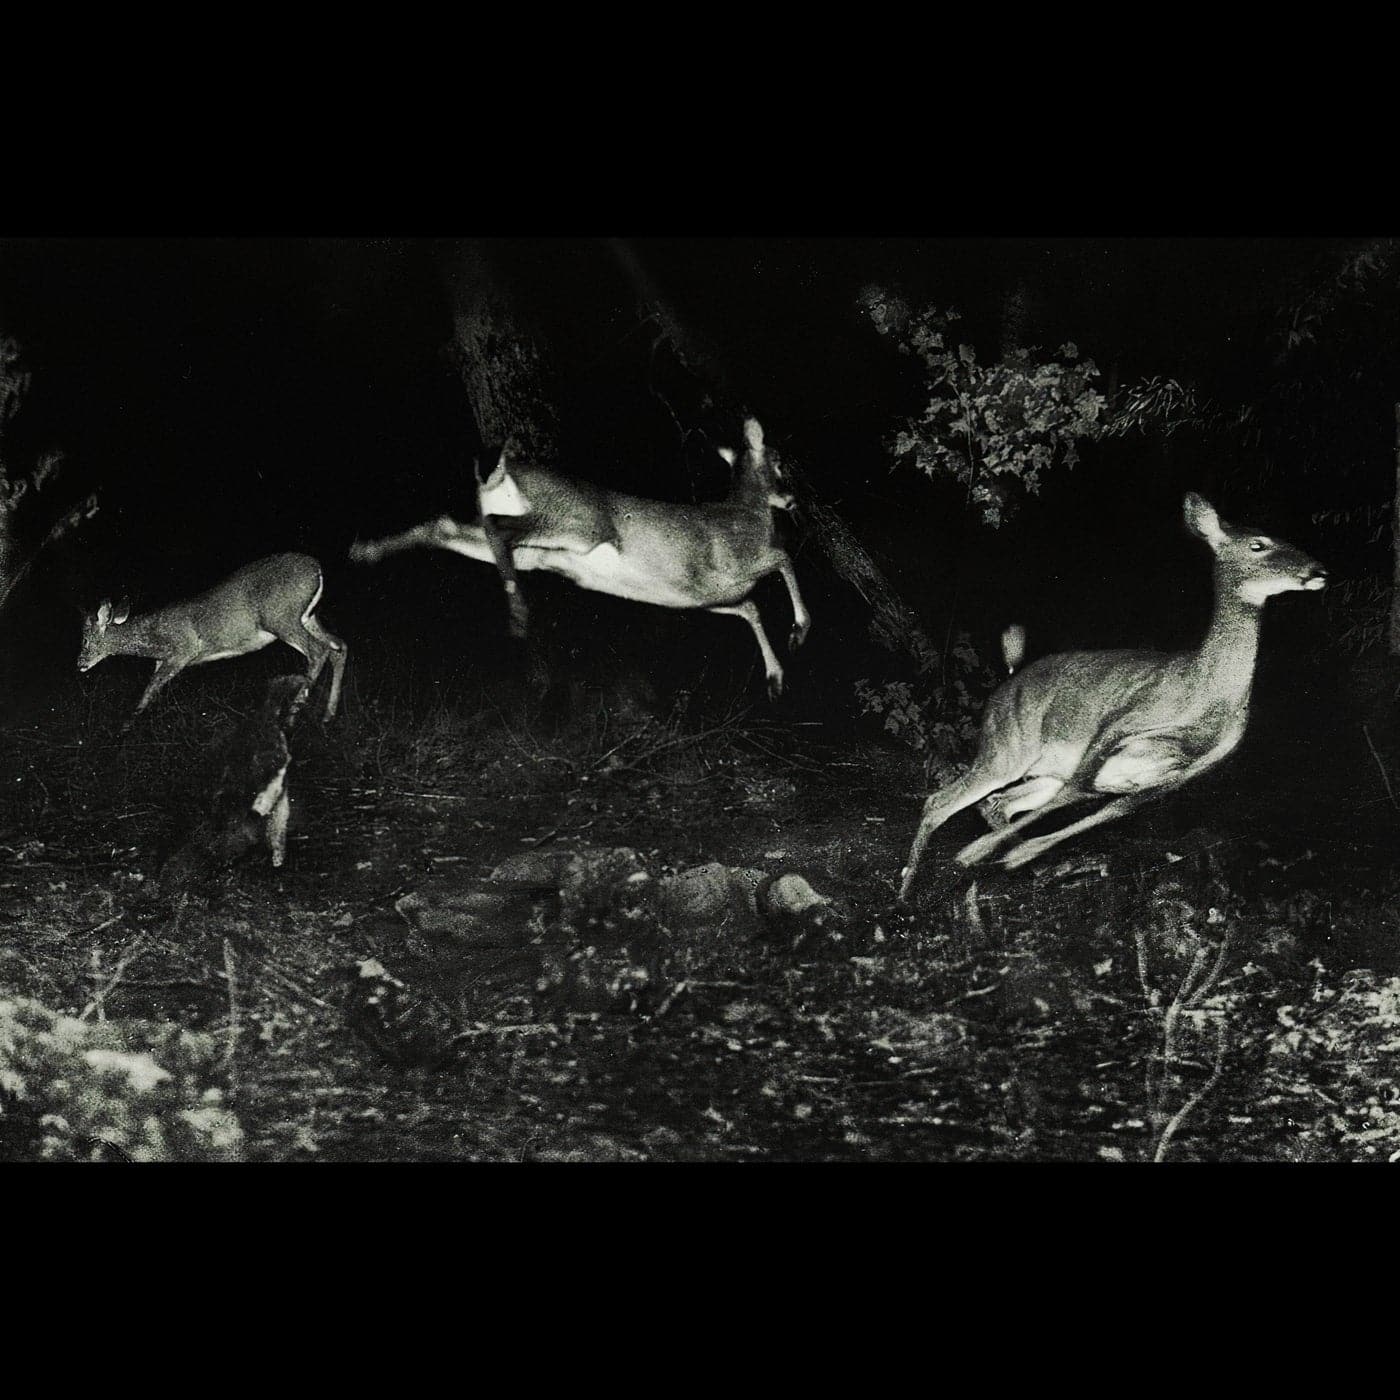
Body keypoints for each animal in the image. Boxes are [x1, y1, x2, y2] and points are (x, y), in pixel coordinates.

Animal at [78, 548, 348, 728]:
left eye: (84, 640)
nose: (79, 664)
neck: (153, 640)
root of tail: (316, 568)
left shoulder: (182, 651)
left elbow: (150, 688)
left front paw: (126, 726)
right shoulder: (163, 660)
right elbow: (153, 688)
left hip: (281, 617)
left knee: (318, 651)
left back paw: (292, 716)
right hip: (307, 616)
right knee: (338, 646)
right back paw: (328, 715)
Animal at [347, 414, 812, 700]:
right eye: (779, 462)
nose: (792, 500)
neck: (746, 516)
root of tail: (501, 471)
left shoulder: (703, 596)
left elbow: (751, 608)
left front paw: (775, 679)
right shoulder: (726, 569)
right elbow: (784, 558)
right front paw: (799, 631)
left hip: (537, 549)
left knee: (448, 525)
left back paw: (365, 550)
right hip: (579, 523)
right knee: (498, 525)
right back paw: (517, 610)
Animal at [901, 492, 1327, 901]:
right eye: (1258, 544)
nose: (1319, 571)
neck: (1206, 695)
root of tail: (1007, 681)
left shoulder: (1187, 771)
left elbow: (1107, 811)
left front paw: (1018, 854)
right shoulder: (1119, 721)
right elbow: (1078, 791)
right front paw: (977, 852)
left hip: (1039, 768)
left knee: (1000, 802)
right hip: (1006, 747)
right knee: (940, 801)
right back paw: (908, 892)